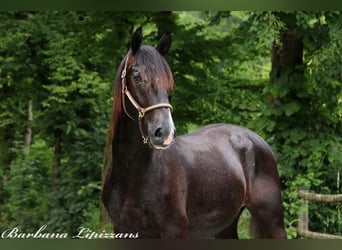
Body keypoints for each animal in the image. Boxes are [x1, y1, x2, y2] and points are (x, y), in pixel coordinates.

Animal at [101, 27, 286, 238]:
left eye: (169, 81)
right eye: (137, 76)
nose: (164, 133)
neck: (133, 176)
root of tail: (257, 140)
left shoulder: (174, 231)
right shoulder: (122, 230)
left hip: (272, 220)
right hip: (225, 225)